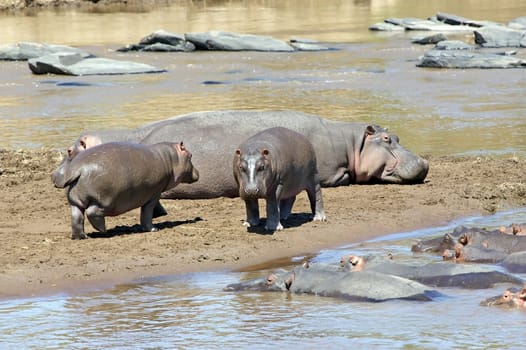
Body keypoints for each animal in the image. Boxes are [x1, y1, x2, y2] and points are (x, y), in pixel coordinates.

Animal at [53, 141, 199, 239]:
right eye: (191, 155)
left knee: (76, 217)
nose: (198, 173)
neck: (170, 158)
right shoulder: (154, 193)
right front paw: (153, 229)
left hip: (75, 201)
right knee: (92, 212)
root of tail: (77, 169)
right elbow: (146, 213)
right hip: (105, 200)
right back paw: (103, 231)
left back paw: (81, 237)